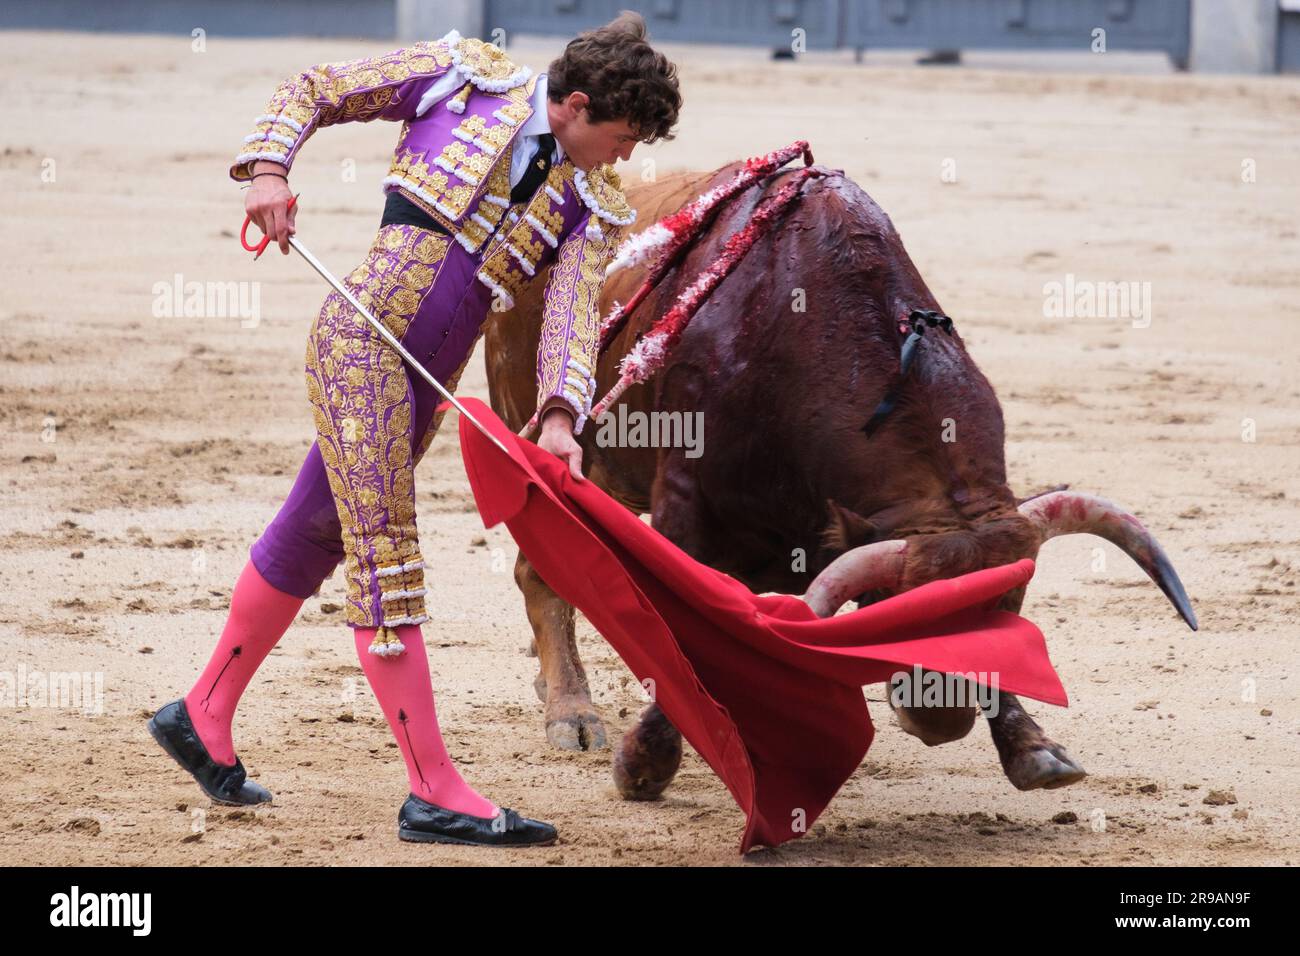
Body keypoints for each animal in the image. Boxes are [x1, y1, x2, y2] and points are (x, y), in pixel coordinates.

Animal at [483, 158, 1190, 801]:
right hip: (532, 424)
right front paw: (644, 764)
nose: (942, 722)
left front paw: (1034, 749)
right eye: (892, 612)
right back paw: (572, 712)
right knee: (538, 568)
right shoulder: (686, 506)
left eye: (1008, 607)